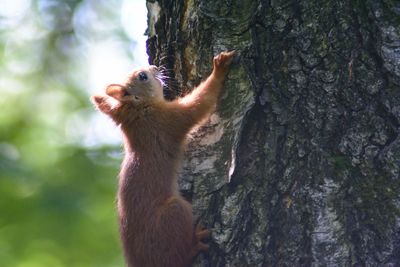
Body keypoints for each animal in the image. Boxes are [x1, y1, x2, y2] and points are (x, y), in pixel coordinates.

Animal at [91, 50, 234, 267]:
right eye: (142, 76)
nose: (156, 67)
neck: (140, 114)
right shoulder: (170, 120)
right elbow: (200, 103)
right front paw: (219, 68)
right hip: (174, 213)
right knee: (178, 256)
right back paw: (195, 244)